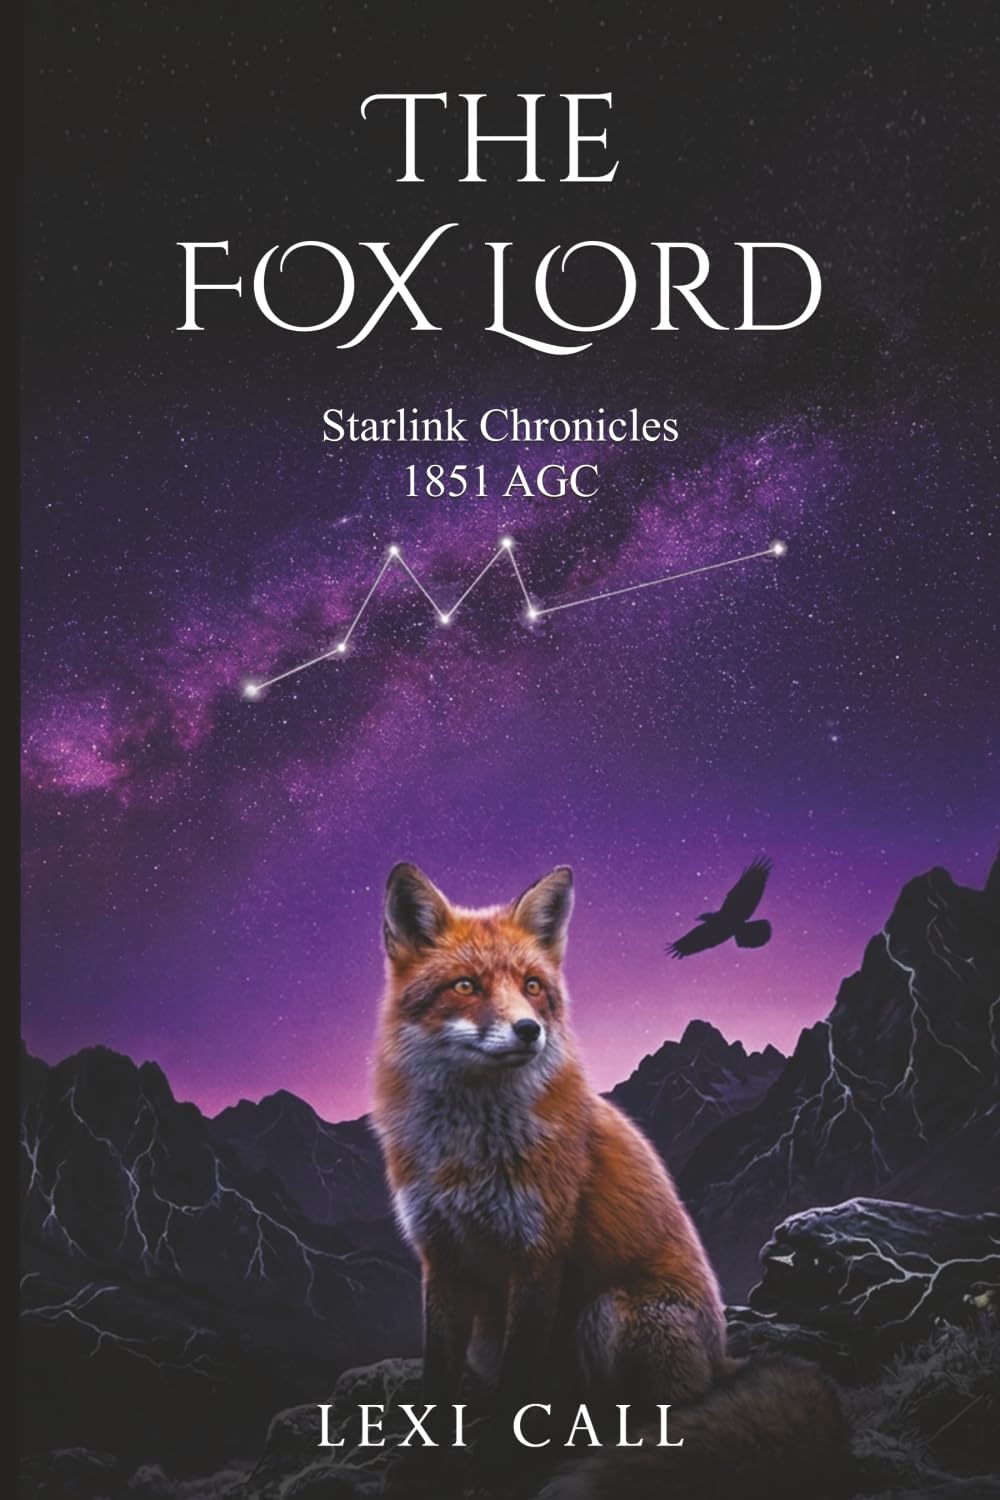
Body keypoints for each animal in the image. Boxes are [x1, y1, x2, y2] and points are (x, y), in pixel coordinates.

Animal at [372, 862, 846, 1497]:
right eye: (466, 986)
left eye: (533, 986)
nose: (529, 1030)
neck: (469, 1151)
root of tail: (723, 1356)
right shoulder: (441, 1256)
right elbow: (436, 1381)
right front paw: (425, 1467)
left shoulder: (538, 1253)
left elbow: (517, 1388)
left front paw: (499, 1468)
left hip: (608, 1312)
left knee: (645, 1414)